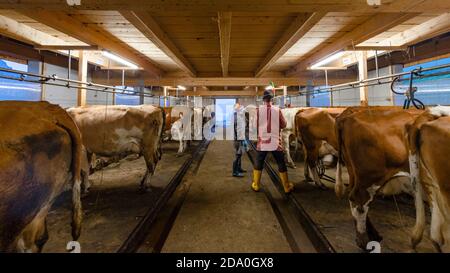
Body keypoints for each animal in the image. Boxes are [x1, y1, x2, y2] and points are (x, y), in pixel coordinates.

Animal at [336, 106, 424, 249]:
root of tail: (347, 117)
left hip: (353, 171)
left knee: (354, 198)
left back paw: (372, 234)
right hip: (371, 175)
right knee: (359, 199)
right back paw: (364, 240)